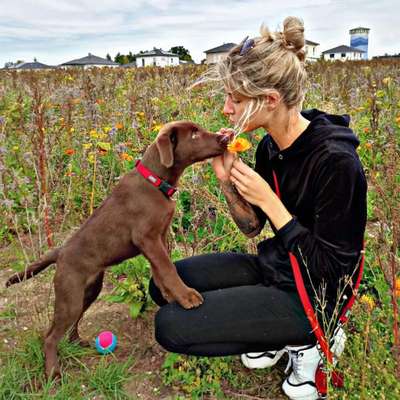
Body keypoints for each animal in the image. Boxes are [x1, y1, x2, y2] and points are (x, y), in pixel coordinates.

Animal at [6, 121, 228, 378]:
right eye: (194, 135)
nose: (225, 138)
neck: (155, 181)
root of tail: (59, 252)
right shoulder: (147, 238)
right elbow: (167, 268)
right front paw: (186, 296)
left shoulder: (158, 238)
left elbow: (161, 270)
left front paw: (169, 295)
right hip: (70, 294)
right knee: (51, 335)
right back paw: (53, 372)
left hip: (89, 290)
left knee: (68, 323)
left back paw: (76, 342)